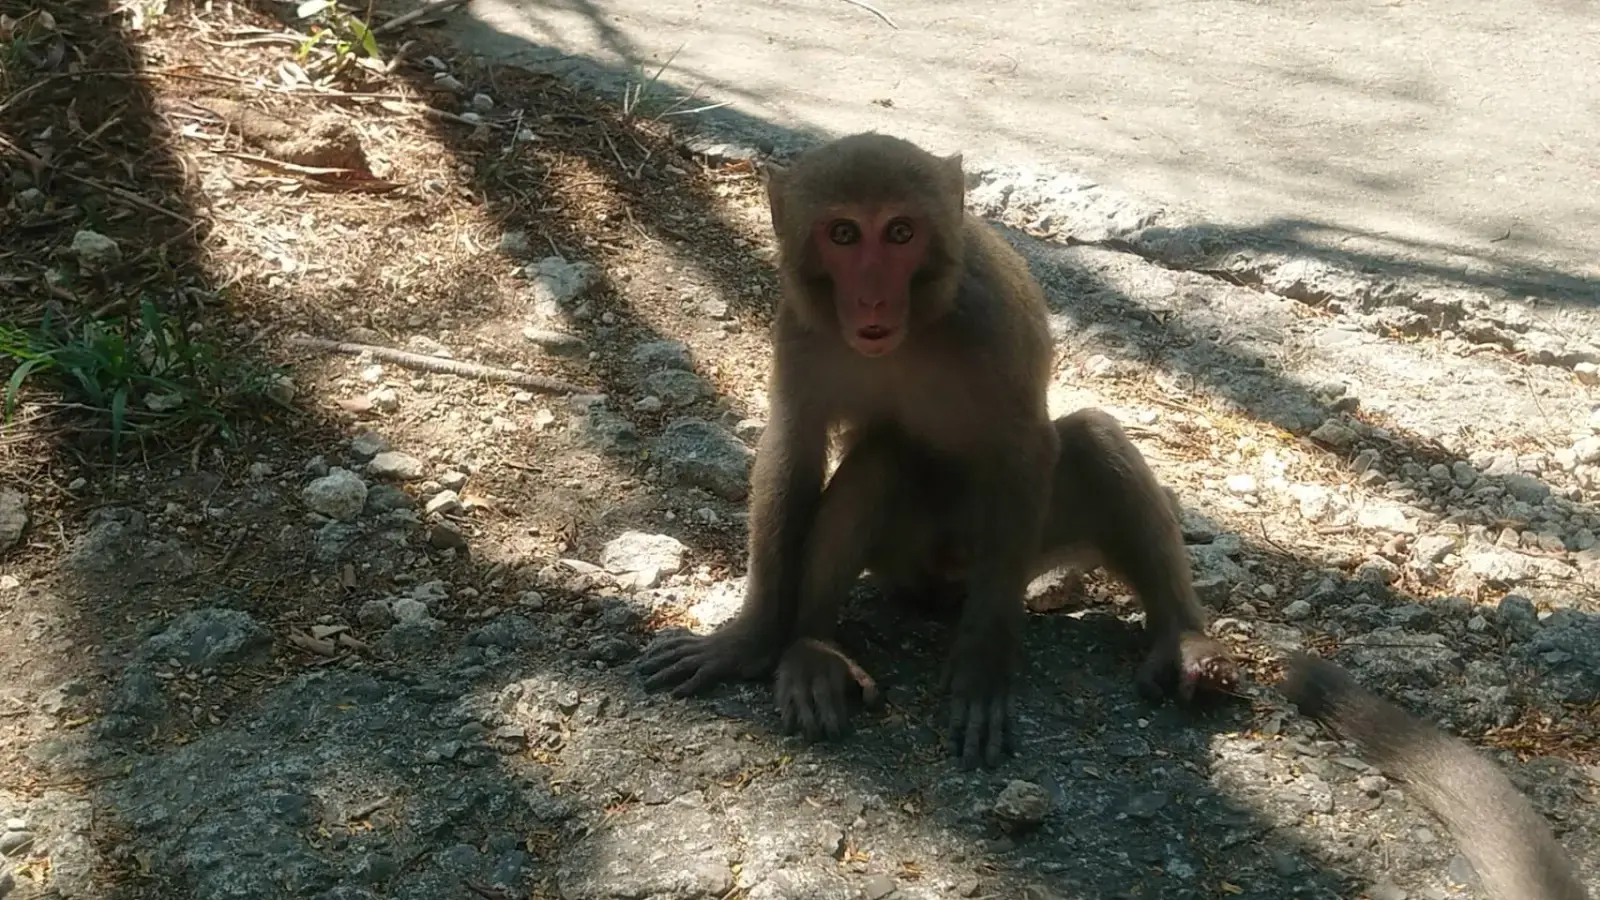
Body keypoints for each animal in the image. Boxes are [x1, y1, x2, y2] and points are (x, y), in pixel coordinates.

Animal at [637, 133, 1236, 768]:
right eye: (843, 234)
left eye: (900, 232)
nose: (873, 298)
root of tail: (945, 579)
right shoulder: (799, 327)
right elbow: (794, 451)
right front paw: (749, 641)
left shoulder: (992, 320)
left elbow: (1025, 447)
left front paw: (981, 668)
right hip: (901, 560)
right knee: (881, 461)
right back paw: (814, 649)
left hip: (1016, 550)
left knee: (1095, 443)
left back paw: (1185, 639)